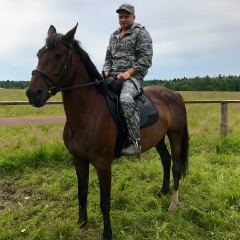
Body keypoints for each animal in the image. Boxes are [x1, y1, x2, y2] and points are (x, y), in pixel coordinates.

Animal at [26, 23, 189, 240]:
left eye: (58, 55)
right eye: (39, 54)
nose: (33, 94)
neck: (87, 113)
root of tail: (174, 95)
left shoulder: (103, 164)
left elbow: (104, 201)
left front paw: (107, 233)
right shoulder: (78, 160)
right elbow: (82, 192)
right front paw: (82, 222)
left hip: (175, 135)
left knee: (176, 166)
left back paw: (173, 203)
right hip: (159, 138)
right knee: (166, 160)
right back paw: (162, 191)